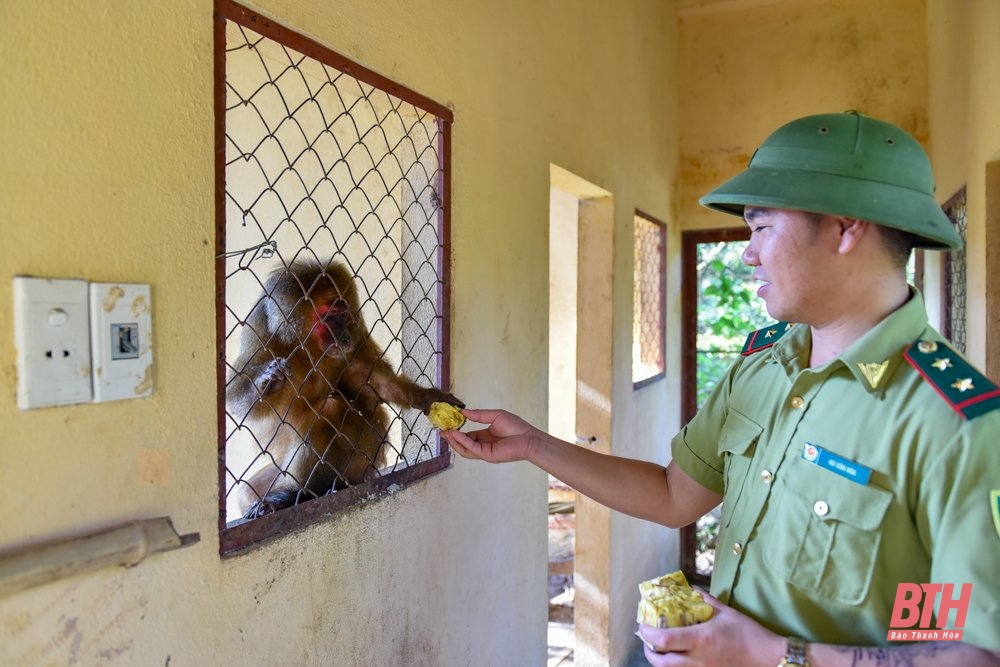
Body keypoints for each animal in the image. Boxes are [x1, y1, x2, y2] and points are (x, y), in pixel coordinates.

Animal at [227, 258, 460, 520]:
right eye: (330, 316)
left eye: (343, 313)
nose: (345, 336)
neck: (308, 347)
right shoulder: (260, 330)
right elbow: (240, 403)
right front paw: (268, 382)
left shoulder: (357, 333)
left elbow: (374, 381)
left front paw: (426, 397)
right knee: (248, 490)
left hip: (365, 456)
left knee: (329, 410)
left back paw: (302, 493)